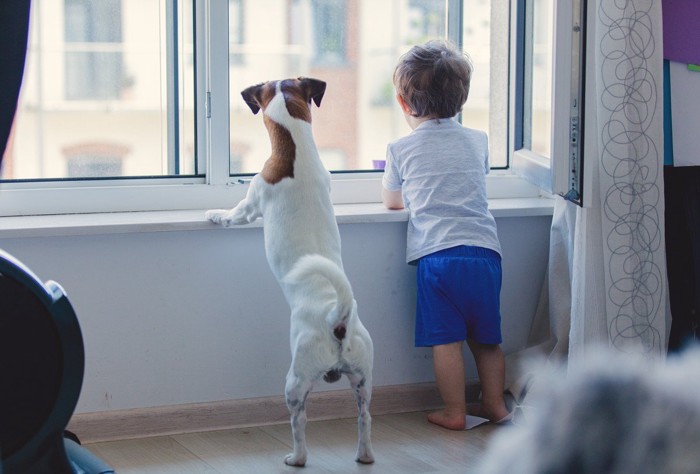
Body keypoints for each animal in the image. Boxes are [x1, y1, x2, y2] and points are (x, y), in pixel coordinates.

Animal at [205, 77, 374, 466]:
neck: (297, 153)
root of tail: (338, 319)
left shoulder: (251, 203)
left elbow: (233, 214)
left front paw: (214, 215)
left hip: (296, 381)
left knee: (300, 422)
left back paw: (296, 458)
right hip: (363, 378)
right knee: (365, 417)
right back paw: (365, 455)